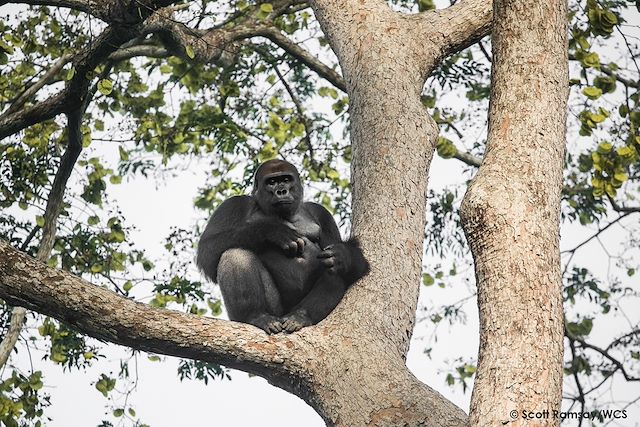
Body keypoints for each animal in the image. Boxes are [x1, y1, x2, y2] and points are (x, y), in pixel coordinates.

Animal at [196, 160, 370, 334]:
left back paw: (300, 316)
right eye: (271, 182)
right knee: (235, 253)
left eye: (286, 180)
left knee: (333, 268)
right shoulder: (233, 204)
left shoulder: (321, 213)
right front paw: (272, 231)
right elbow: (208, 249)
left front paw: (343, 256)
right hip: (275, 312)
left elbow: (347, 260)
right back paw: (255, 316)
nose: (281, 191)